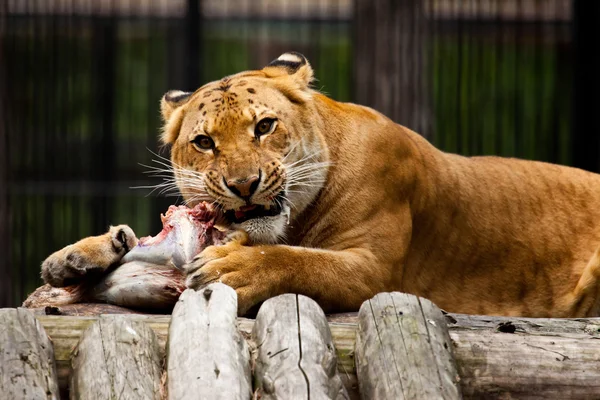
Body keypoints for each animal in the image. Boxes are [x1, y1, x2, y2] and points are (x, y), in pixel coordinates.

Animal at [39, 51, 600, 318]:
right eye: (203, 142)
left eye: (264, 126)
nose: (244, 185)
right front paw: (74, 256)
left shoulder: (375, 270)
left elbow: (297, 261)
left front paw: (234, 269)